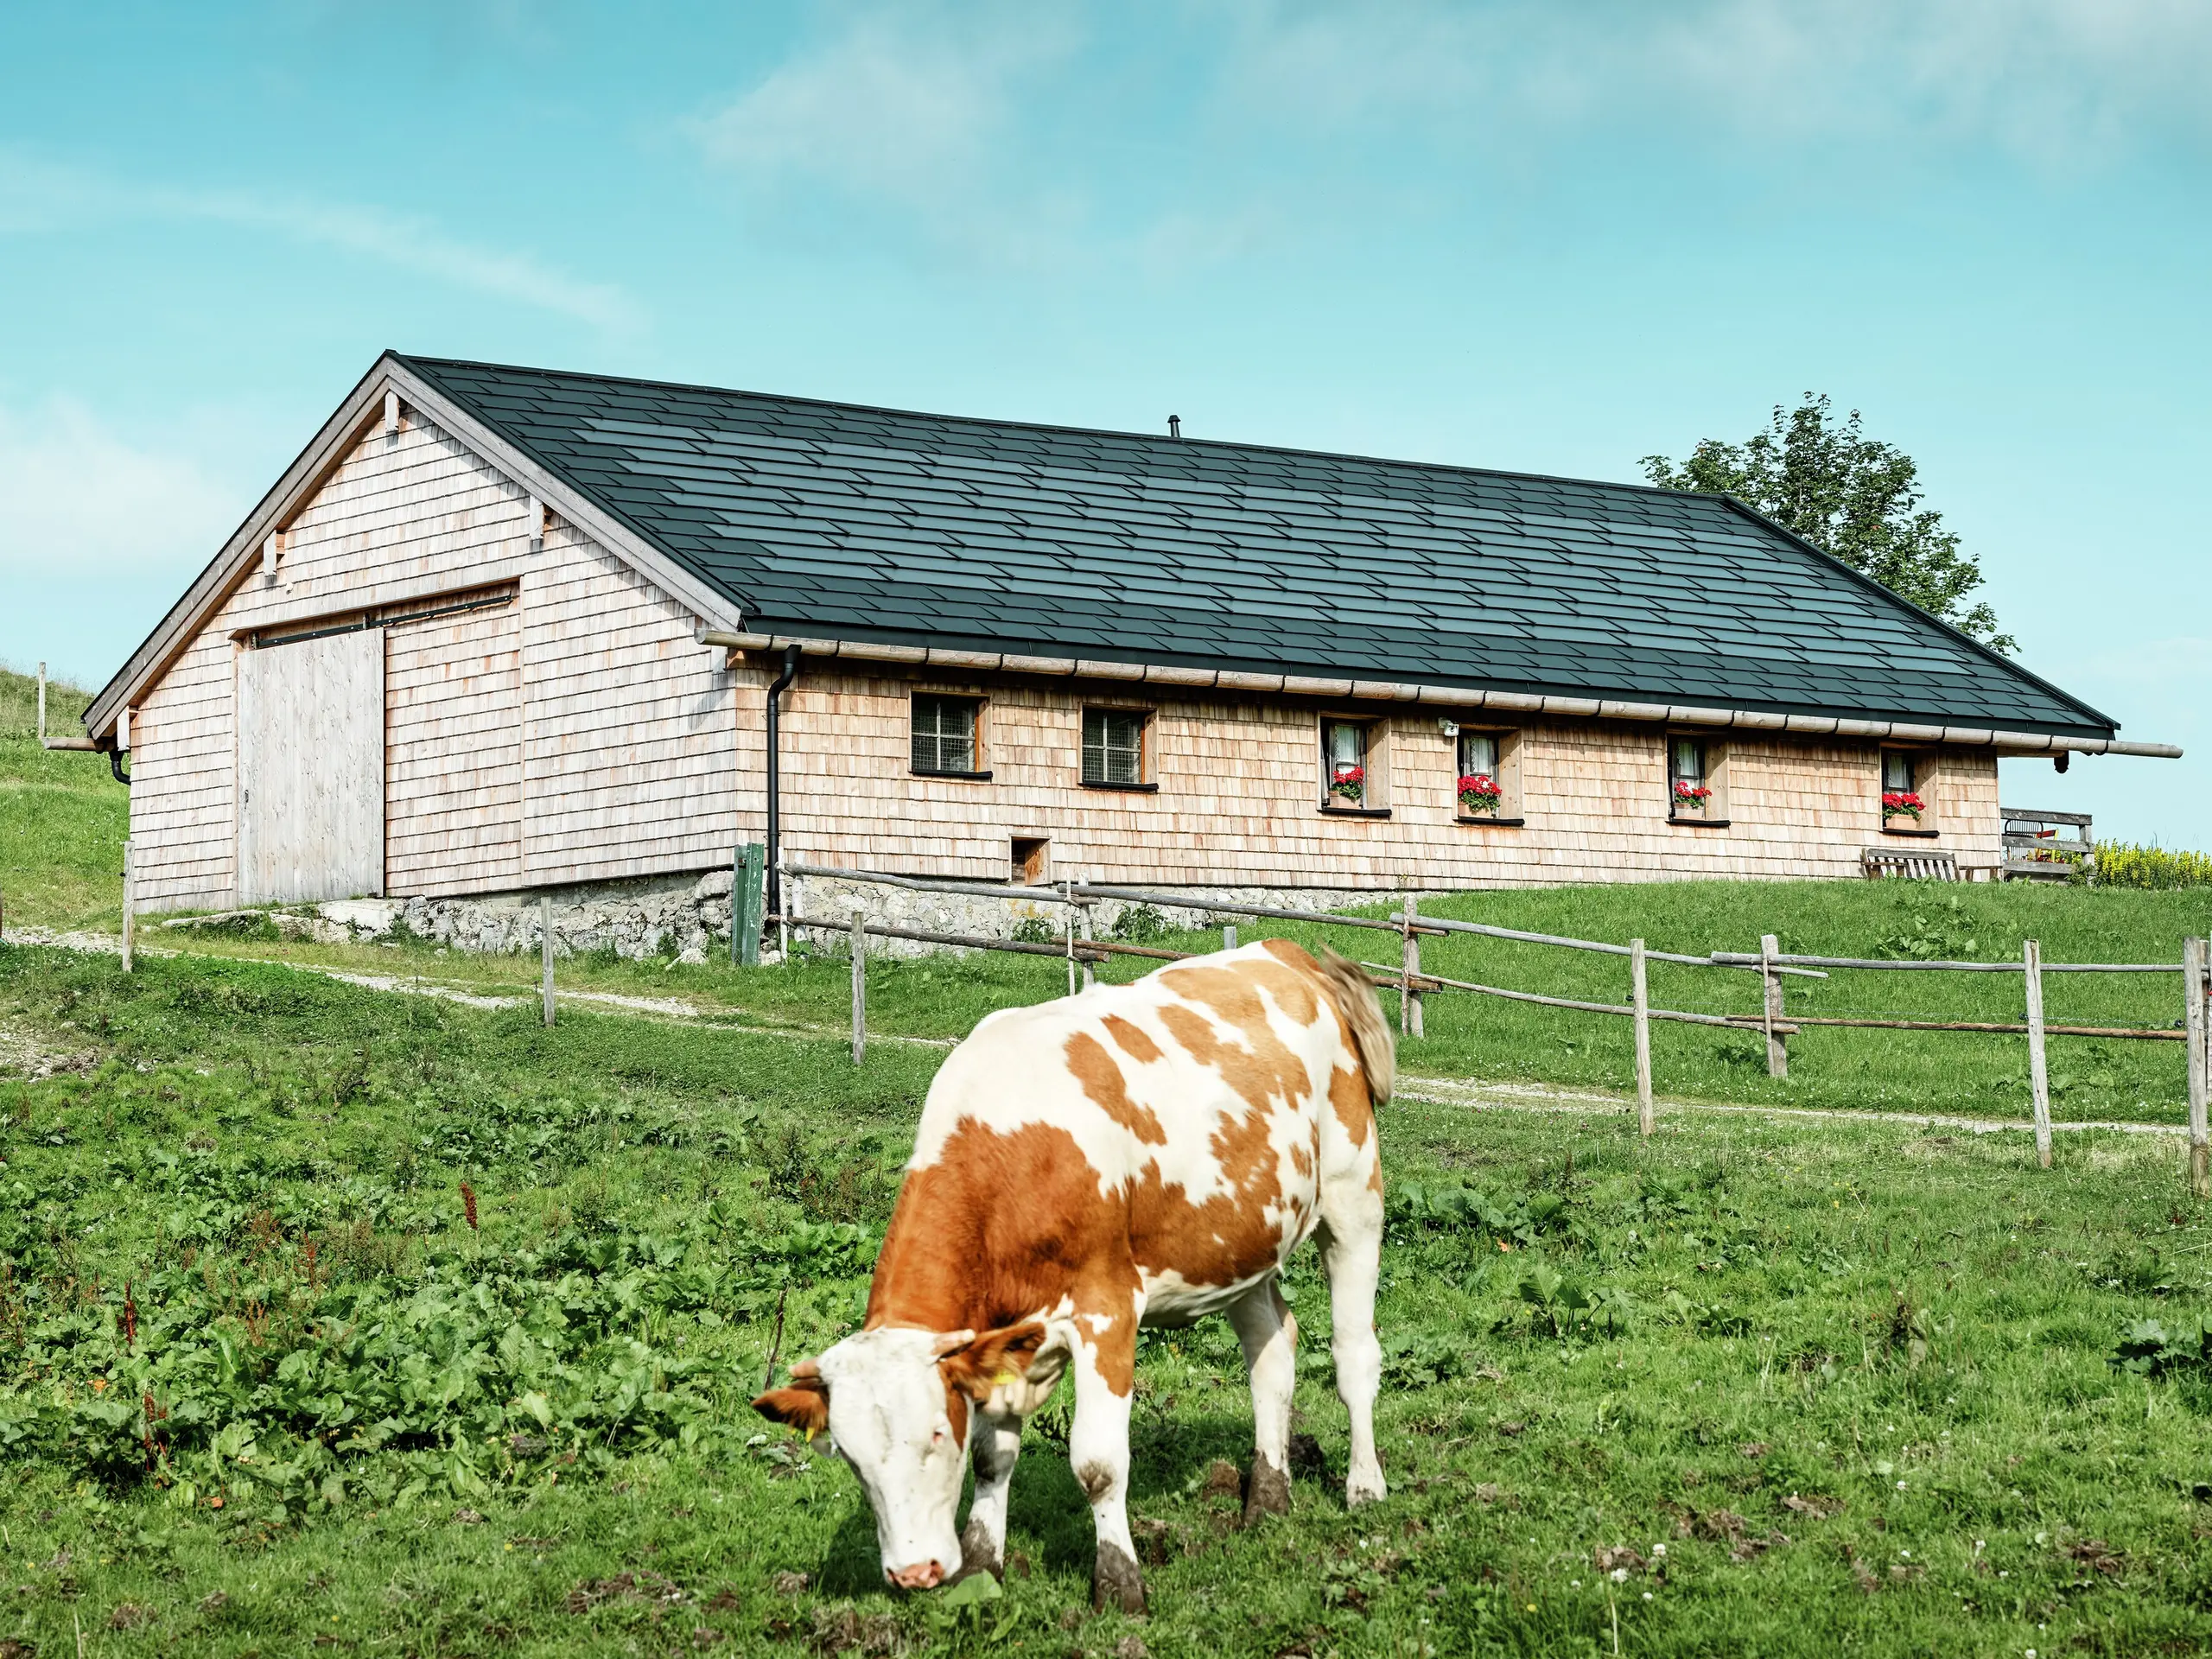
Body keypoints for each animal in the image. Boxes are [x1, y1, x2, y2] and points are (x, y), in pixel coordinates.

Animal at [753, 939, 1395, 1612]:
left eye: (935, 1433)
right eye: (851, 1460)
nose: (914, 1573)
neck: (1011, 1150)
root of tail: (1290, 953)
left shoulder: (1105, 1309)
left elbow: (1098, 1466)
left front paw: (1120, 1583)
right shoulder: (1002, 1340)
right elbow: (992, 1458)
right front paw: (982, 1564)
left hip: (1354, 1197)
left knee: (1354, 1355)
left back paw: (1364, 1487)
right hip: (1237, 1241)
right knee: (1270, 1351)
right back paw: (1266, 1499)